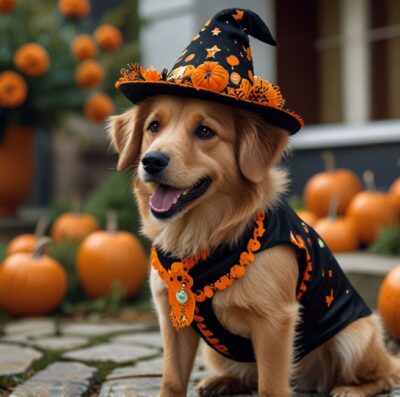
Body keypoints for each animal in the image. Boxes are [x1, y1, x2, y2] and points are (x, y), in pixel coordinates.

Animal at [108, 96, 400, 396]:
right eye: (154, 126)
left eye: (205, 131)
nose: (152, 161)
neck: (201, 240)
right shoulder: (172, 318)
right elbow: (172, 379)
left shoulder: (274, 320)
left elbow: (270, 386)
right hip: (215, 352)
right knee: (248, 375)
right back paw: (222, 381)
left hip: (355, 336)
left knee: (388, 372)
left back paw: (350, 388)